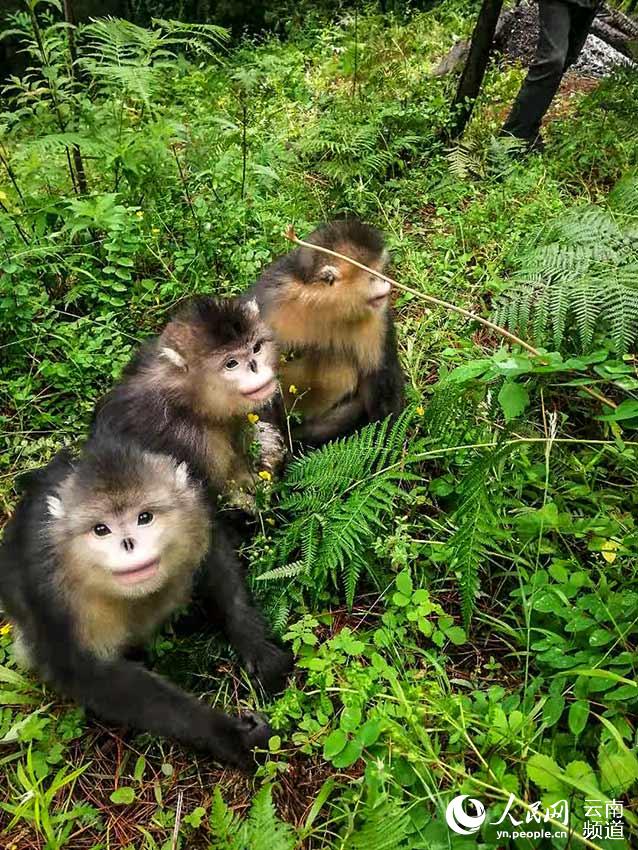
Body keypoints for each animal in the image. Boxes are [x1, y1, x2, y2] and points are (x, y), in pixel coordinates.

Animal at [0, 440, 284, 764]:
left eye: (144, 517)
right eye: (101, 529)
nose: (129, 544)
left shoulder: (194, 516)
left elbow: (213, 557)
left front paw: (257, 646)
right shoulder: (49, 591)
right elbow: (88, 675)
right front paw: (233, 736)